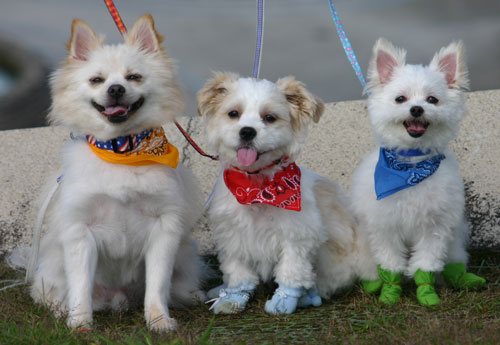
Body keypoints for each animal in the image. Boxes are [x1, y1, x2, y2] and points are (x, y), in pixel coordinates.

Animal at [196, 72, 376, 314]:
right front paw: (233, 297)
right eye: (233, 113)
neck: (257, 188)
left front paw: (284, 300)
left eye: (269, 117)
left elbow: (292, 271)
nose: (247, 131)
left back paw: (308, 297)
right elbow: (238, 272)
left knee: (326, 282)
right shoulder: (233, 235)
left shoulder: (297, 237)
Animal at [352, 39, 484, 306]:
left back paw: (462, 278)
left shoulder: (434, 228)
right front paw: (390, 293)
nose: (416, 109)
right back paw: (372, 283)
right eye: (400, 99)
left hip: (454, 240)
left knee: (453, 261)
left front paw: (427, 293)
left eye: (432, 99)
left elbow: (426, 265)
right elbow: (390, 265)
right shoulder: (385, 229)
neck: (411, 168)